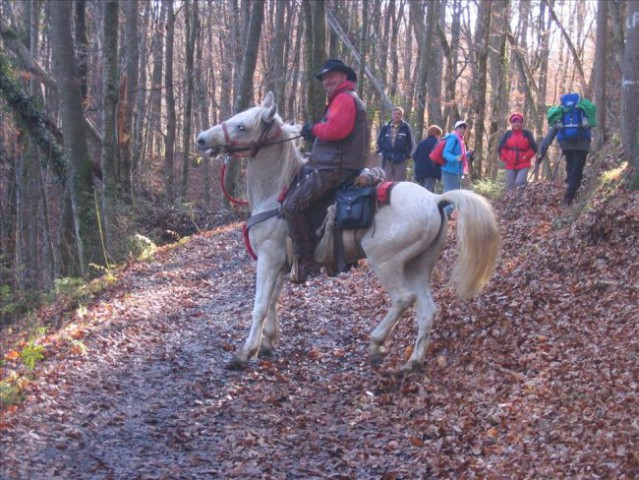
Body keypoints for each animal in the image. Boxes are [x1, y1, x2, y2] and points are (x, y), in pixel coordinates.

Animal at [198, 93, 502, 372]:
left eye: (242, 126)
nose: (201, 139)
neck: (277, 193)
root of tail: (436, 200)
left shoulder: (268, 258)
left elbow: (261, 304)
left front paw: (245, 352)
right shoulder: (281, 264)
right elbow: (273, 300)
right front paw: (268, 342)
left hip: (386, 261)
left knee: (404, 299)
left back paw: (377, 343)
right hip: (418, 265)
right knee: (426, 310)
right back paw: (412, 362)